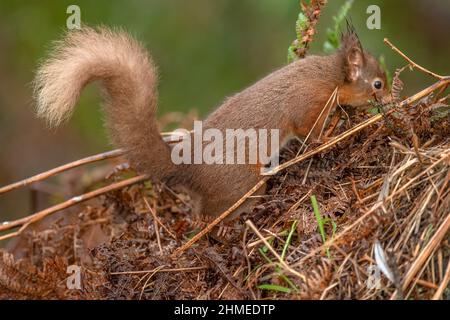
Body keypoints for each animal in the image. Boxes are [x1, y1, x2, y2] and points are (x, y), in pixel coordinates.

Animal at [33, 25, 390, 225]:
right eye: (377, 84)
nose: (391, 96)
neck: (330, 74)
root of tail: (188, 166)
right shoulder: (307, 104)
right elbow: (309, 130)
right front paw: (329, 134)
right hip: (242, 185)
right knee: (211, 214)